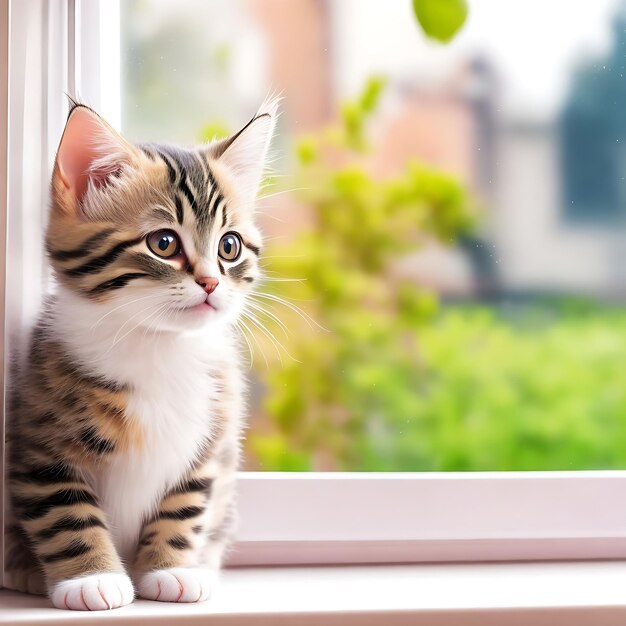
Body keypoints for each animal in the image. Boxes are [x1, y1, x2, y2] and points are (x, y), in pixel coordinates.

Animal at [3, 100, 274, 608]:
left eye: (229, 247)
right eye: (163, 243)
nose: (211, 283)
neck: (158, 345)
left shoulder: (211, 444)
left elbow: (184, 506)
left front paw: (171, 569)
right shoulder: (41, 444)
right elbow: (65, 511)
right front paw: (91, 578)